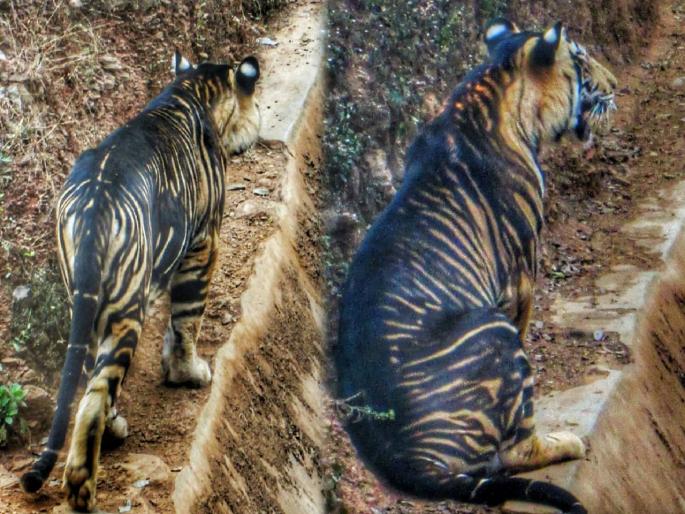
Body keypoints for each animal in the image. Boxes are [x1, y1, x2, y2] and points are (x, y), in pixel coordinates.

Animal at [20, 50, 261, 512]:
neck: (190, 88)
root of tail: (93, 203)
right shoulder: (203, 242)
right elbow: (187, 319)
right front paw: (188, 372)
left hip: (89, 302)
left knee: (94, 378)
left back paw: (112, 432)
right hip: (125, 307)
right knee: (95, 395)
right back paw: (81, 488)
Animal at [334, 19, 617, 514]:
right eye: (582, 60)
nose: (617, 85)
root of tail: (408, 459)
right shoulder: (523, 271)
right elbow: (526, 323)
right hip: (494, 334)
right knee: (518, 450)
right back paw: (568, 442)